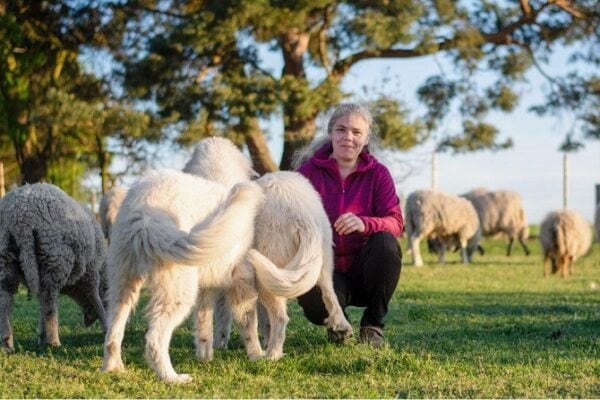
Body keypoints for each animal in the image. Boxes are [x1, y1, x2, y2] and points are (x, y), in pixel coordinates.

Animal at [0, 183, 106, 352]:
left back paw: (7, 342)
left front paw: (40, 335)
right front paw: (107, 326)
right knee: (49, 298)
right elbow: (95, 299)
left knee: (6, 297)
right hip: (53, 256)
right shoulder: (90, 273)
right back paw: (53, 341)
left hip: (6, 254)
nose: (88, 321)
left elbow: (41, 305)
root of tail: (19, 216)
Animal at [102, 138, 264, 384]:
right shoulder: (241, 280)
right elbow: (248, 323)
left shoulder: (207, 288)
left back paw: (113, 368)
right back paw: (172, 378)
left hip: (123, 284)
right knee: (154, 340)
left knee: (113, 333)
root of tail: (145, 214)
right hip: (178, 292)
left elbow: (205, 324)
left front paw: (206, 356)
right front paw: (258, 355)